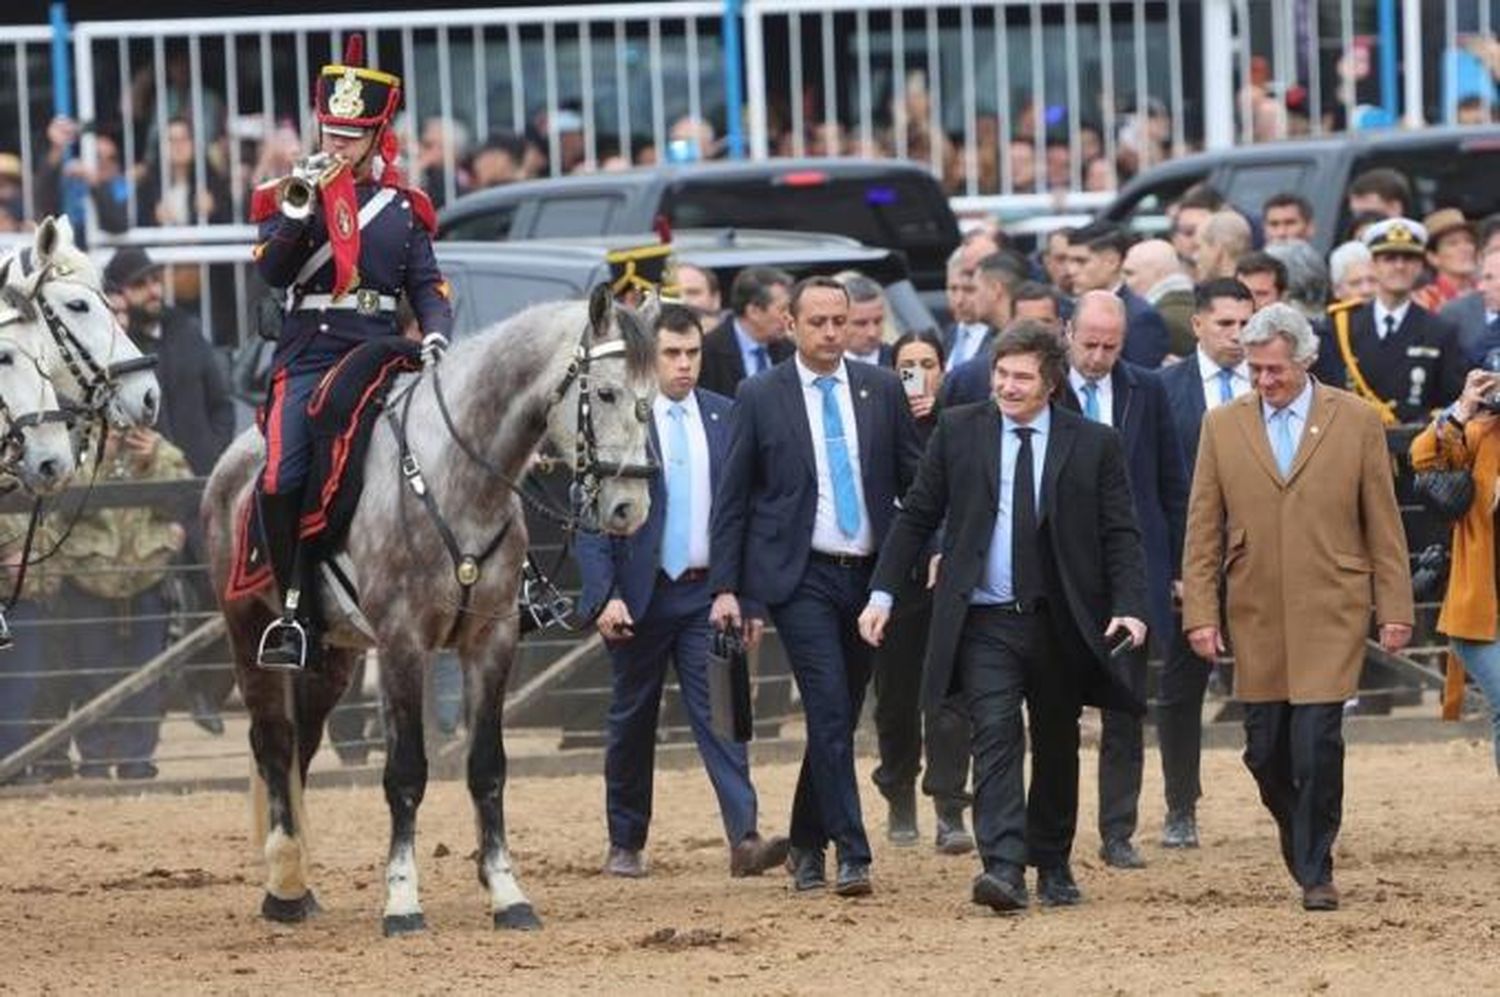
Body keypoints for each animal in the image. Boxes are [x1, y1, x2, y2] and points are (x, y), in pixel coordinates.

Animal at [205, 286, 657, 935]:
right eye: (607, 393)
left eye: (655, 400)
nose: (630, 508)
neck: (454, 476)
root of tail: (233, 461)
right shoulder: (402, 643)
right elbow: (405, 773)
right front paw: (401, 899)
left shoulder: (490, 641)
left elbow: (487, 767)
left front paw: (507, 892)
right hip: (249, 637)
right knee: (272, 743)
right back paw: (284, 883)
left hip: (331, 659)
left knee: (301, 746)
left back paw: (300, 883)